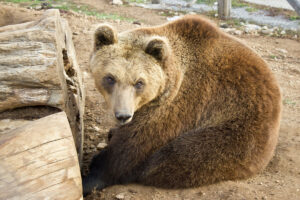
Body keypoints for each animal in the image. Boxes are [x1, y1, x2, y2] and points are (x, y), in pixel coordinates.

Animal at [83, 15, 282, 195]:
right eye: (110, 78)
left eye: (139, 82)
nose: (123, 115)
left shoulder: (179, 104)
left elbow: (132, 147)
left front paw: (93, 175)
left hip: (237, 132)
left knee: (175, 158)